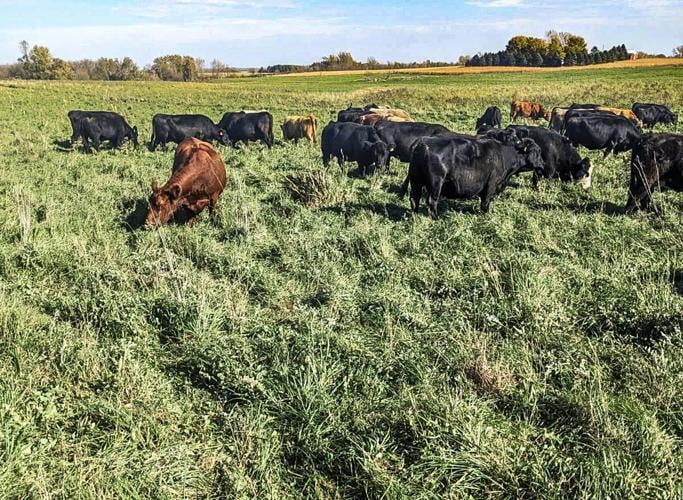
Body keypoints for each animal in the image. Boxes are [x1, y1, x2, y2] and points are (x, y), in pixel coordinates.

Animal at [400, 136, 544, 217]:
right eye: (537, 151)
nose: (543, 165)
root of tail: (423, 143)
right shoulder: (491, 185)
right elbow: (485, 202)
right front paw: (485, 215)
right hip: (435, 184)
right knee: (431, 201)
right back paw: (435, 218)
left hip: (416, 182)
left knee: (414, 199)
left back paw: (415, 216)